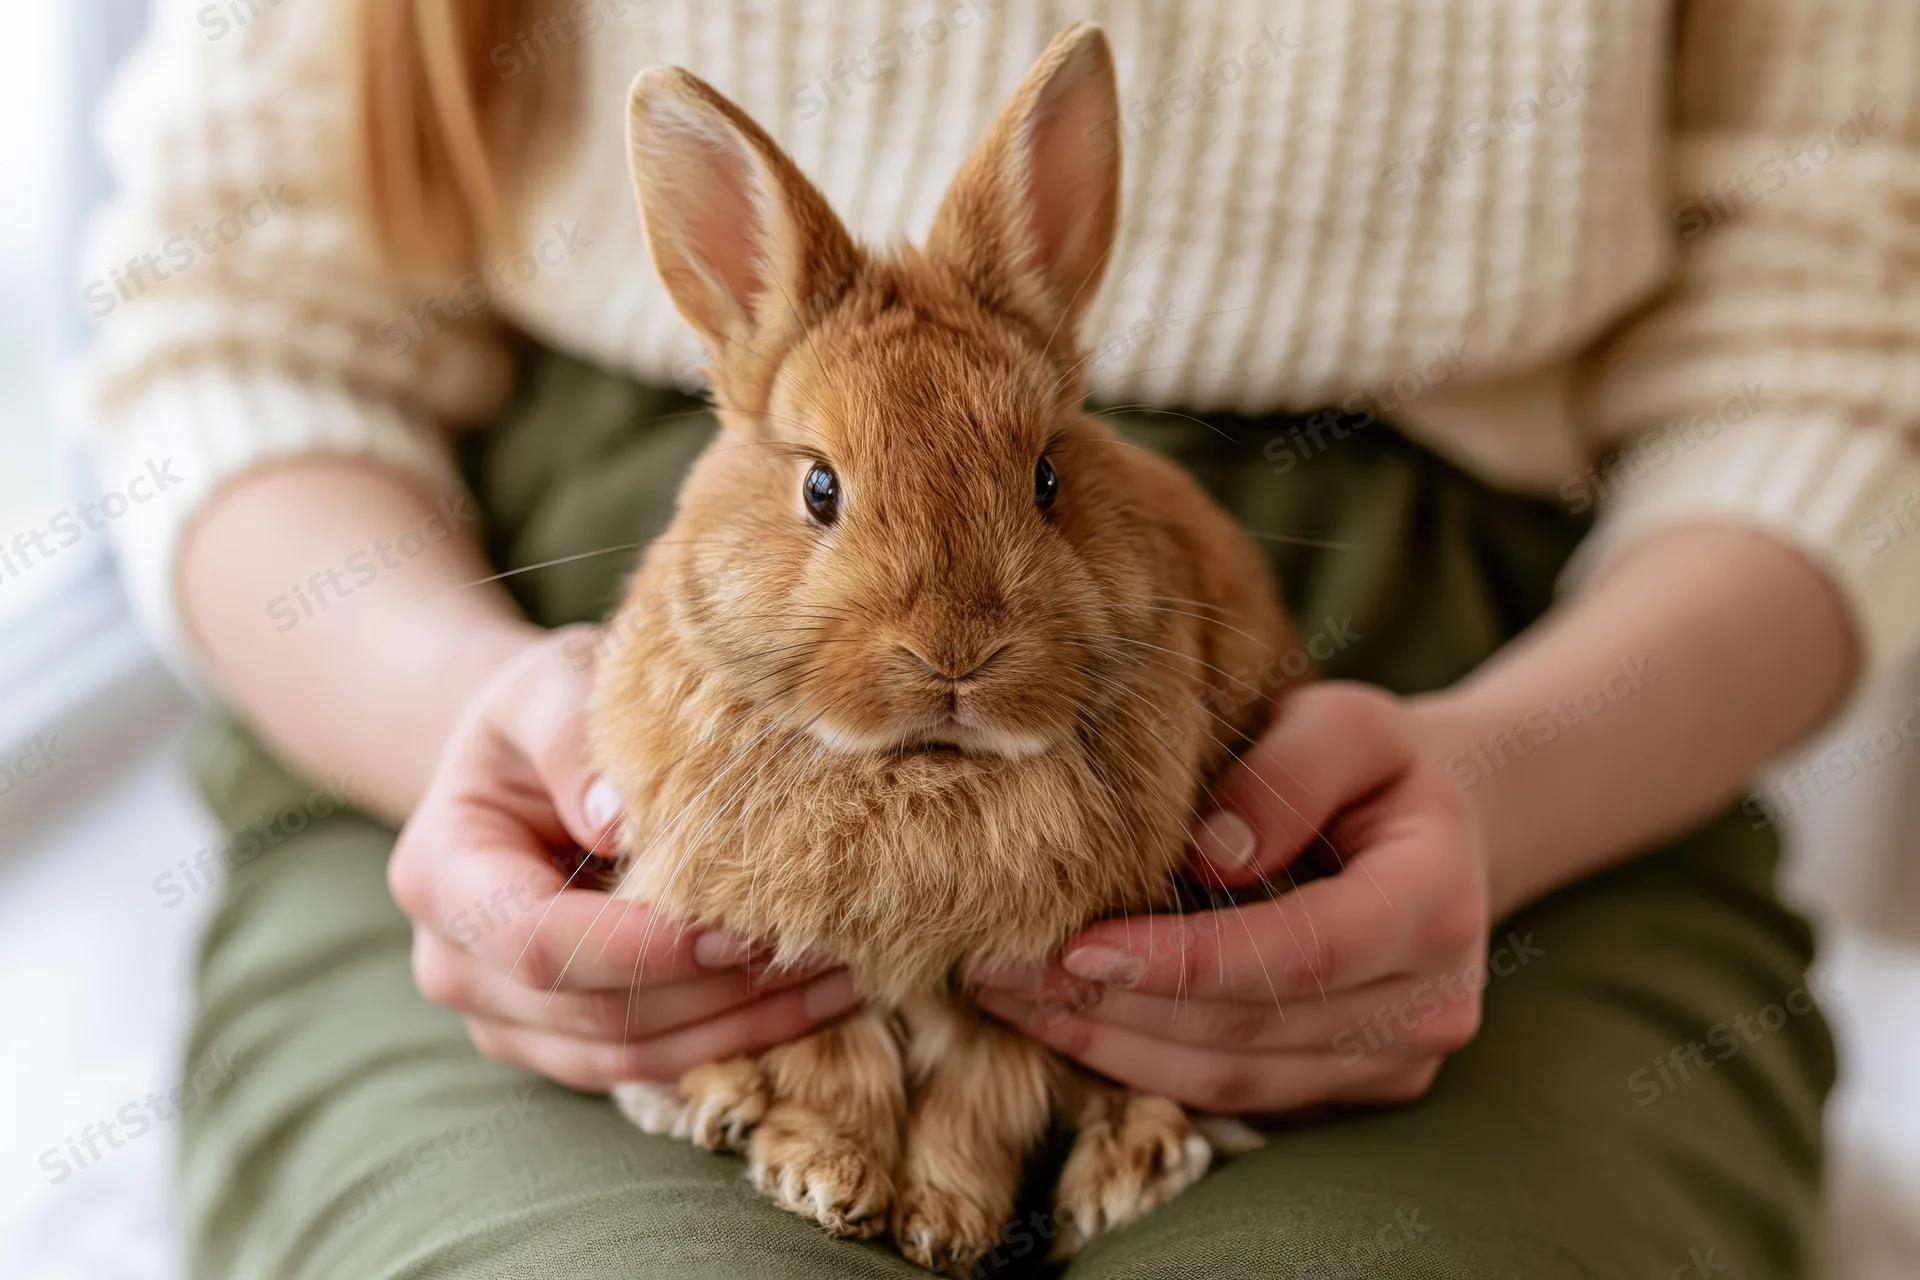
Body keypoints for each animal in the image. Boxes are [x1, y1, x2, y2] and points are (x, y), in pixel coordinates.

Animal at [588, 22, 1294, 1273]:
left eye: (1048, 478)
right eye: (820, 487)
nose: (956, 654)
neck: (922, 774)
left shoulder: (1012, 1000)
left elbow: (980, 1104)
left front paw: (942, 1224)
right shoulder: (801, 966)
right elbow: (838, 1072)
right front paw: (824, 1178)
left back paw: (1128, 1171)